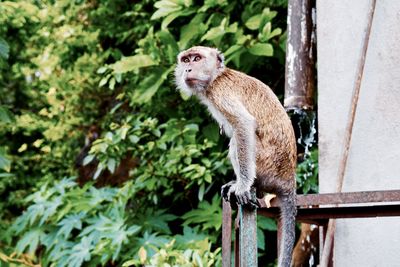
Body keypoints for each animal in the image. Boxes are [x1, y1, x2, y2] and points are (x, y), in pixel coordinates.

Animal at [174, 46, 296, 267]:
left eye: (197, 58)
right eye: (186, 60)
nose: (187, 69)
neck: (216, 76)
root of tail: (288, 179)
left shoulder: (220, 92)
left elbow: (243, 125)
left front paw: (243, 186)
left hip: (267, 164)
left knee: (237, 142)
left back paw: (245, 184)